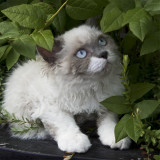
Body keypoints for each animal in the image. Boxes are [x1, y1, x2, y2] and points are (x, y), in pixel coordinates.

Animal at [2, 24, 130, 152]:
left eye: (102, 41)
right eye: (81, 53)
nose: (104, 54)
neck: (89, 86)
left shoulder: (108, 104)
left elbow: (110, 124)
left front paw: (116, 139)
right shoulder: (52, 107)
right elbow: (65, 124)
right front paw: (75, 142)